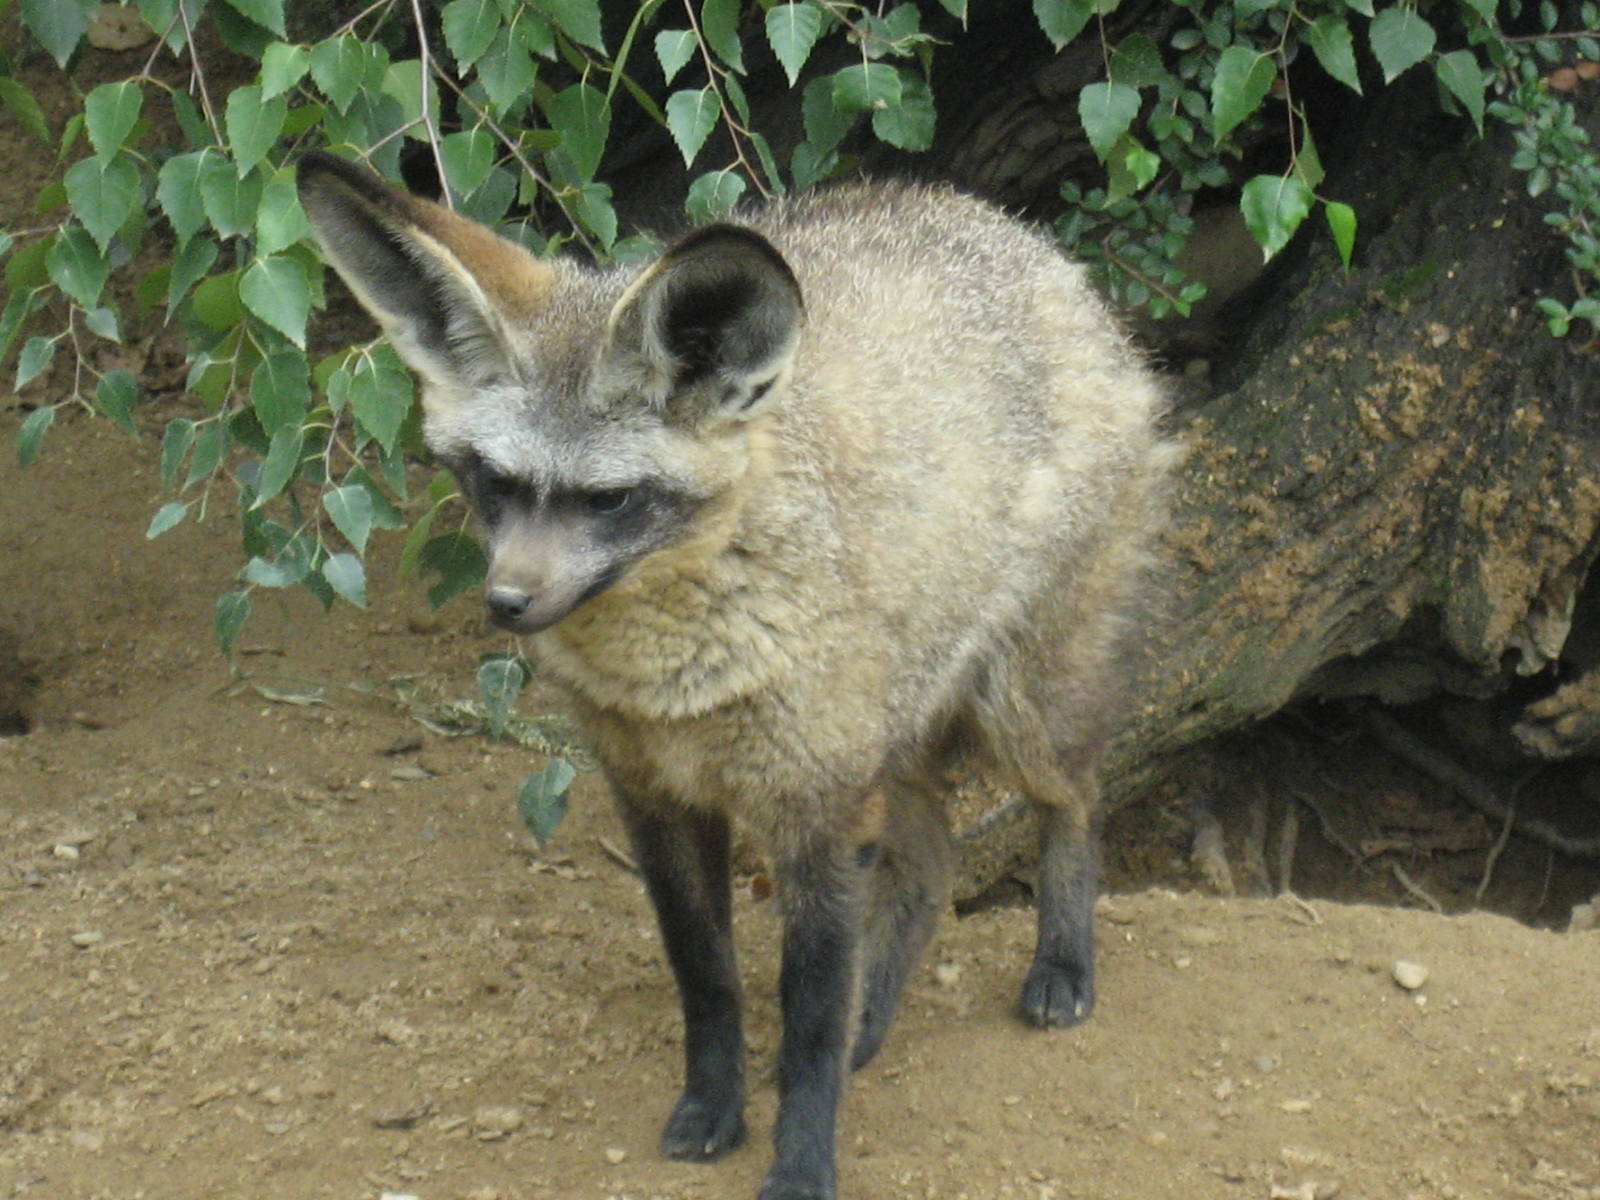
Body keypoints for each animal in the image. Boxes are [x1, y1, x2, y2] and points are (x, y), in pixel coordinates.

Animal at [297, 150, 1170, 1200]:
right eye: (494, 485)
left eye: (609, 501)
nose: (507, 603)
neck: (675, 683)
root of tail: (1024, 238)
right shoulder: (656, 799)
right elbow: (708, 981)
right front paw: (713, 1109)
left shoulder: (819, 813)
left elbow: (807, 1019)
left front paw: (801, 1162)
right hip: (894, 738)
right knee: (930, 869)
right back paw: (878, 1022)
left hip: (1019, 711)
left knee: (1076, 801)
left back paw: (1064, 967)